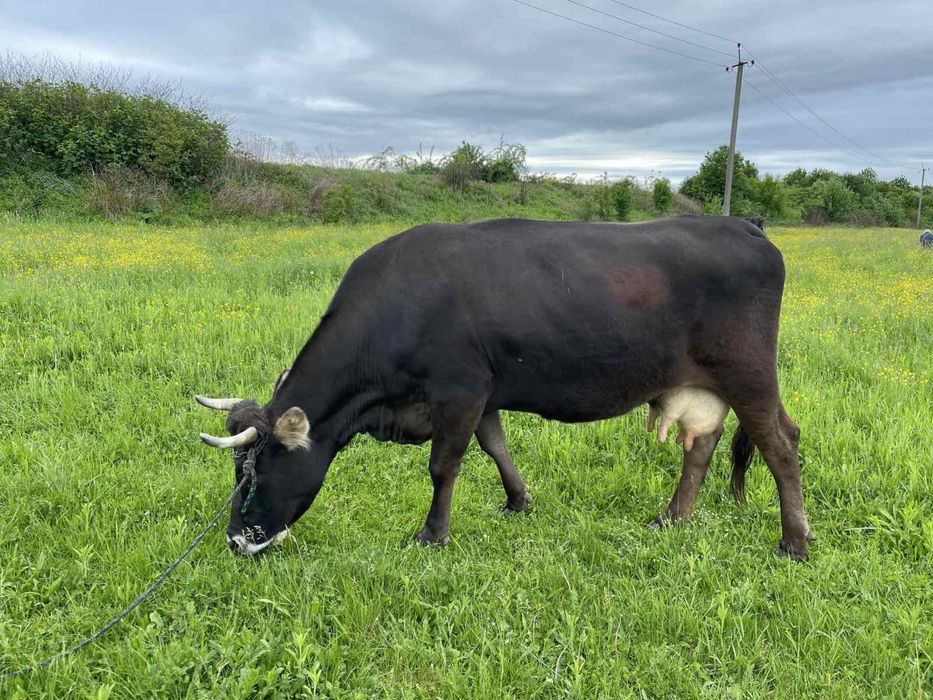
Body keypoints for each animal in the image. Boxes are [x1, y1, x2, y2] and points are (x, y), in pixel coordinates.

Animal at [195, 216, 814, 560]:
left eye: (258, 471)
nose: (235, 541)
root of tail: (742, 224)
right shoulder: (484, 392)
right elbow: (496, 446)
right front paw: (518, 500)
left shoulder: (460, 389)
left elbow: (444, 466)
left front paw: (433, 535)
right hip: (703, 384)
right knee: (703, 445)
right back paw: (672, 518)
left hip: (749, 372)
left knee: (781, 444)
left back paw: (793, 543)